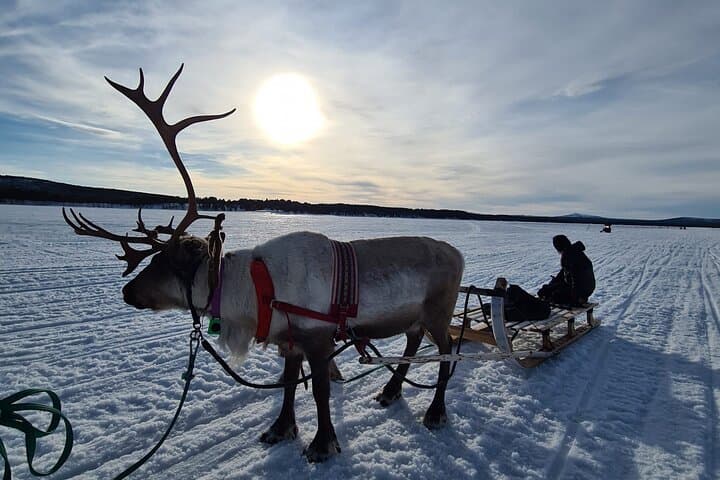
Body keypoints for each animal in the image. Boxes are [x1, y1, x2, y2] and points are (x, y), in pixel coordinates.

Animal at [63, 65, 464, 463]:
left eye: (168, 263)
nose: (127, 291)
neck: (256, 290)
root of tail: (458, 253)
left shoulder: (317, 338)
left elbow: (320, 393)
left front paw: (323, 444)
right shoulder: (290, 339)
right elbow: (287, 385)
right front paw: (280, 428)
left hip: (439, 311)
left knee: (448, 350)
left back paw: (435, 412)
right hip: (416, 316)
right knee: (414, 342)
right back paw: (391, 391)